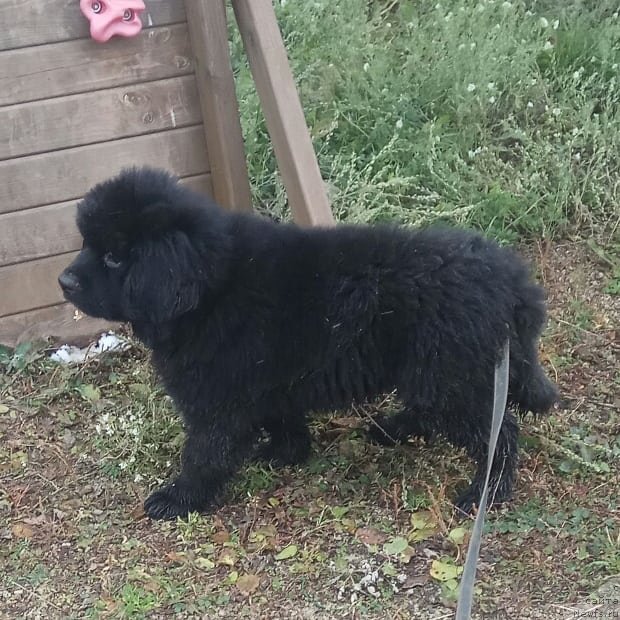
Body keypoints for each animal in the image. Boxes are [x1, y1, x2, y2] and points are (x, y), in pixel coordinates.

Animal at [59, 168, 556, 520]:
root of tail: (511, 281)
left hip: (447, 373)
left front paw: (180, 499)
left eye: (115, 256)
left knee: (499, 432)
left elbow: (204, 452)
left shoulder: (217, 399)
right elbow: (281, 420)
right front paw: (286, 454)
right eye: (86, 244)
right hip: (436, 371)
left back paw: (485, 492)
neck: (210, 286)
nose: (63, 281)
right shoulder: (266, 381)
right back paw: (392, 430)